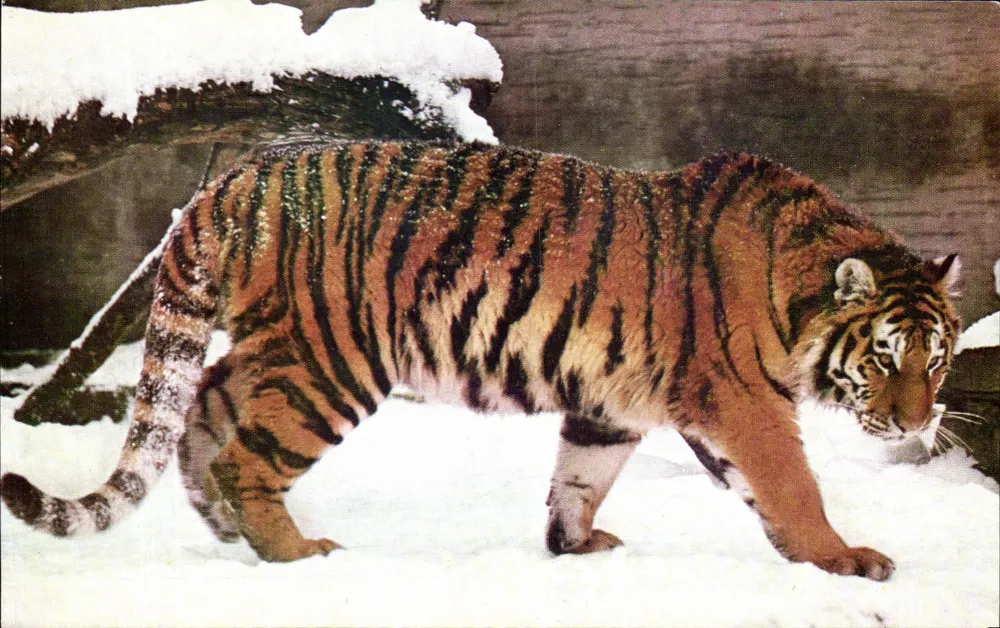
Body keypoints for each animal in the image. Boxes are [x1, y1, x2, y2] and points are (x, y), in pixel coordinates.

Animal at [1, 140, 961, 581]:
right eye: (884, 359)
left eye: (939, 363)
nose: (920, 423)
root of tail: (232, 178)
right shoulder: (745, 402)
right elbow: (793, 484)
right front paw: (844, 560)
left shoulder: (612, 406)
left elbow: (581, 477)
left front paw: (574, 547)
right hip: (332, 361)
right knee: (245, 451)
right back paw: (297, 553)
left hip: (279, 347)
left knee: (201, 401)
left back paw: (224, 527)